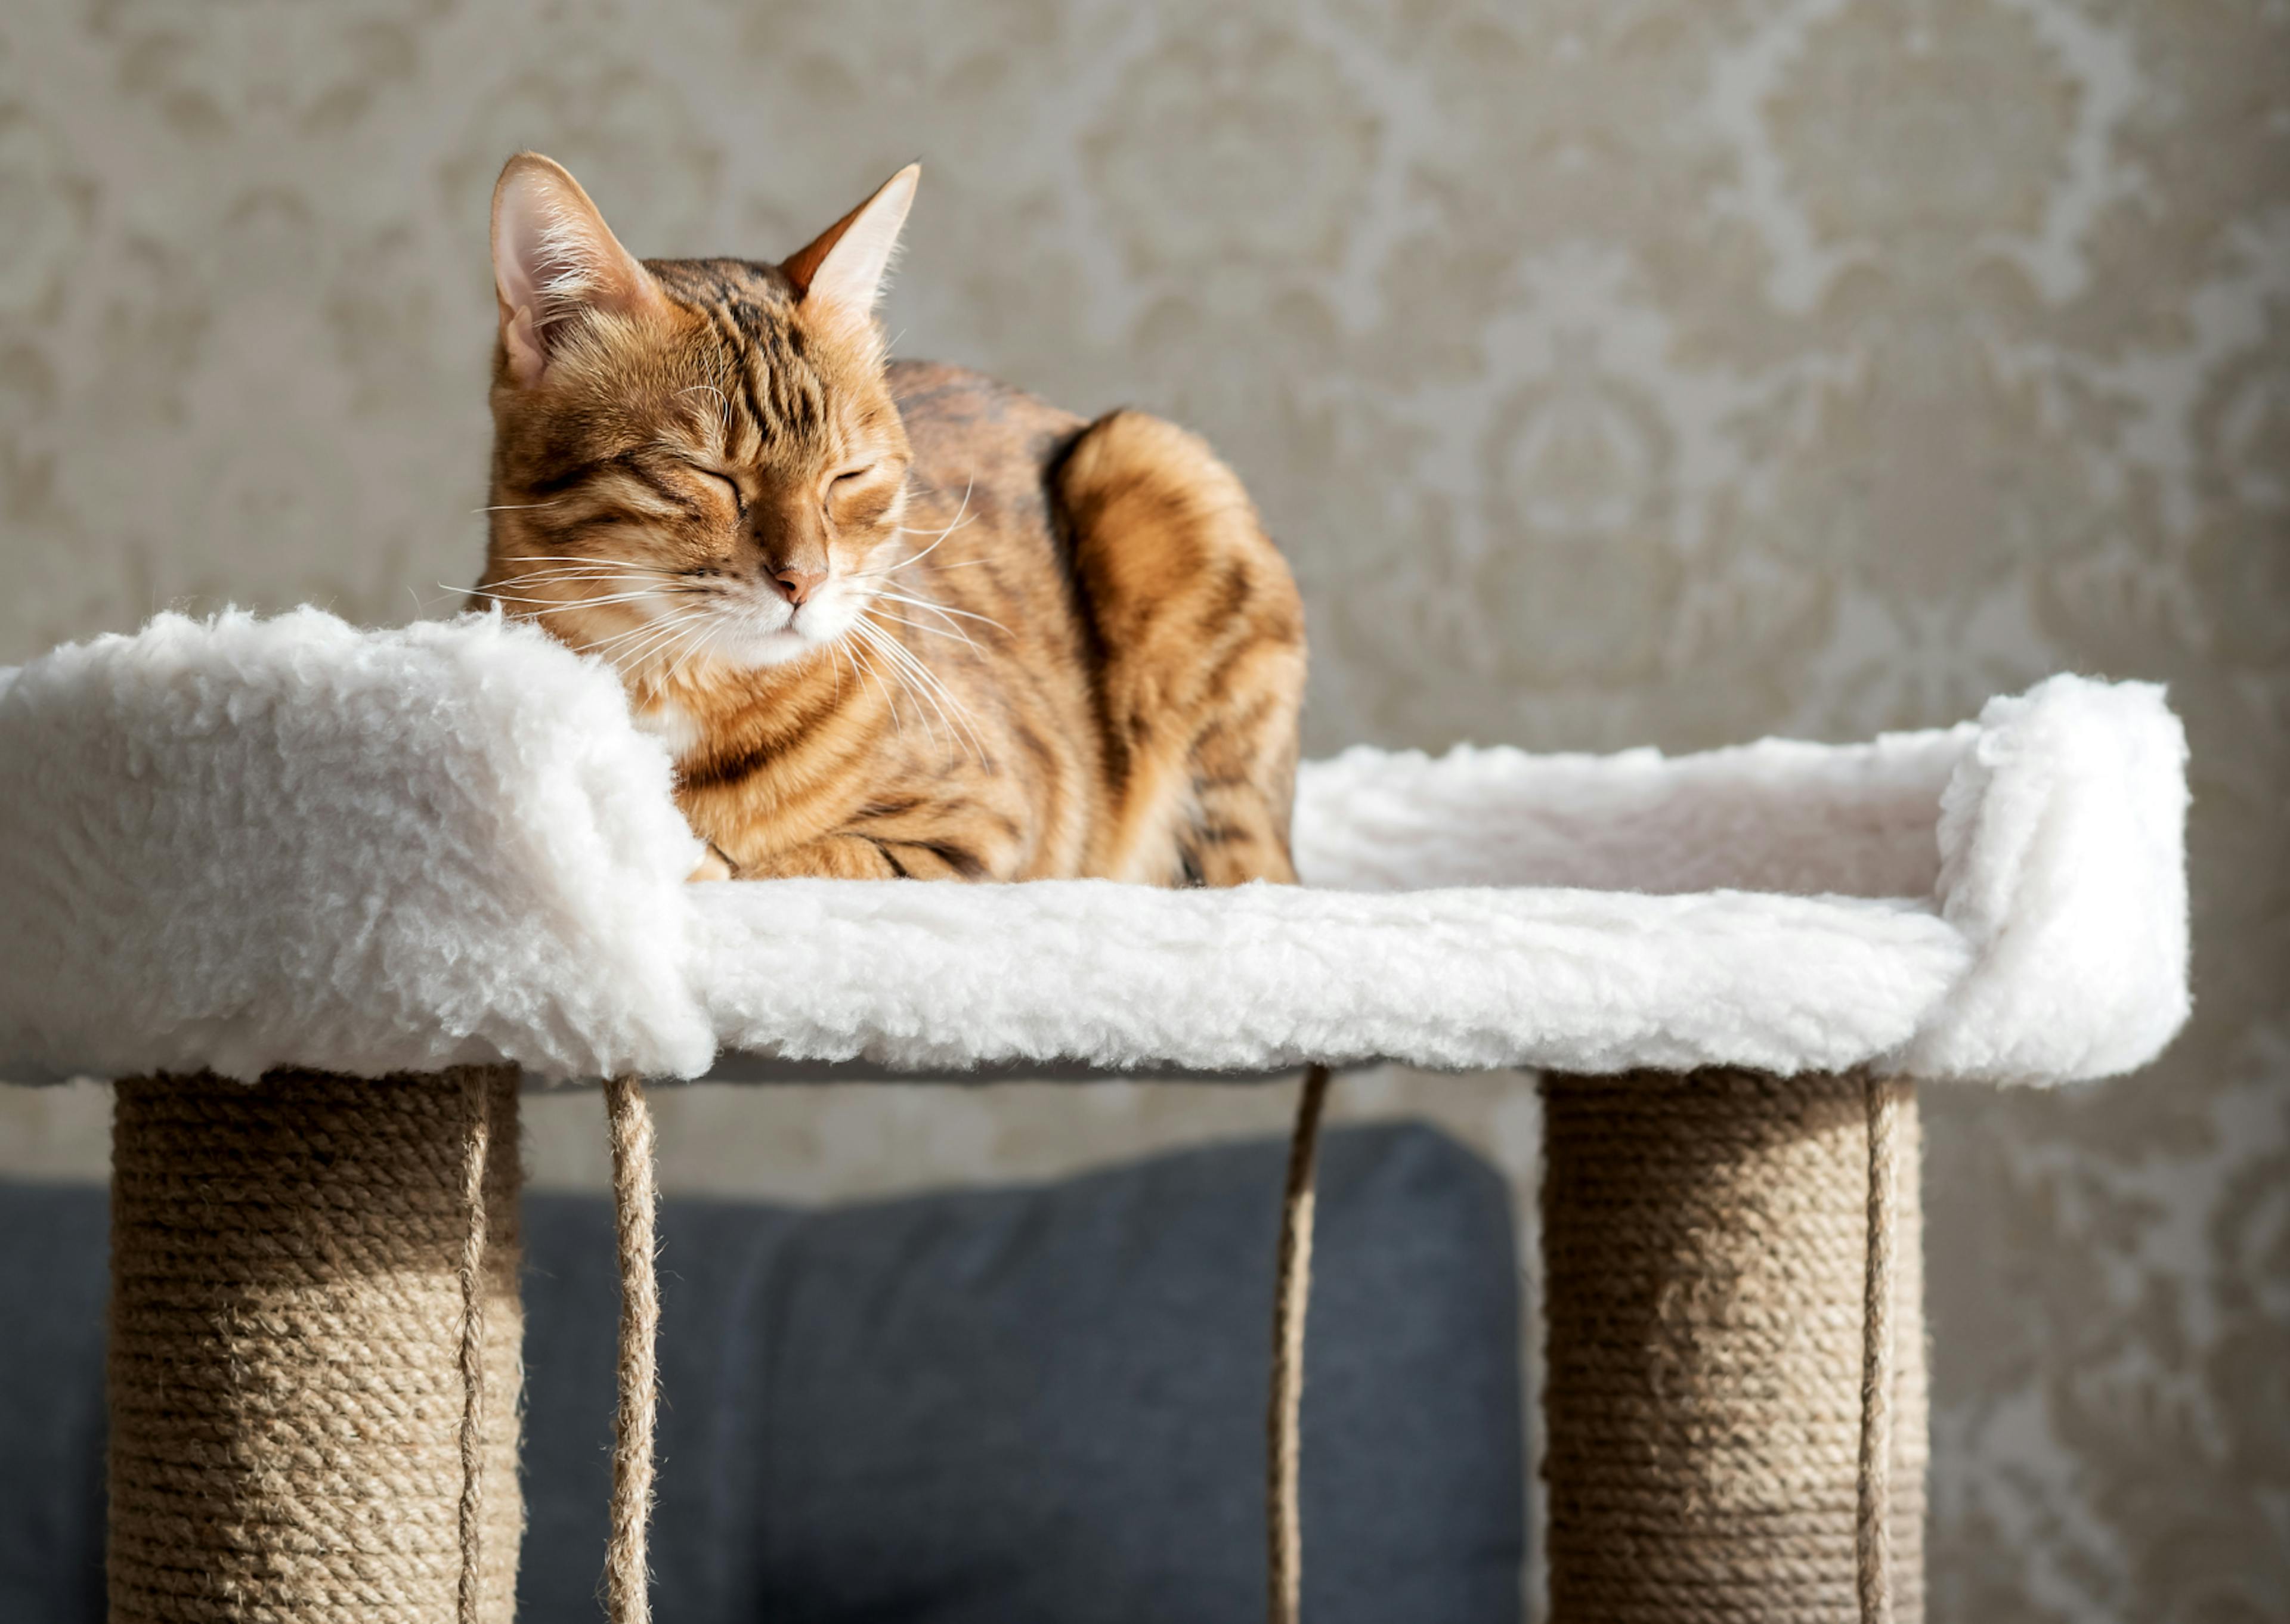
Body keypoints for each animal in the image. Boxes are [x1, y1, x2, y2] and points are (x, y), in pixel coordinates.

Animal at [478, 152, 1310, 888]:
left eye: (848, 475)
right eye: (708, 473)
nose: (804, 581)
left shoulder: (991, 824)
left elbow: (805, 861)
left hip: (1148, 462)